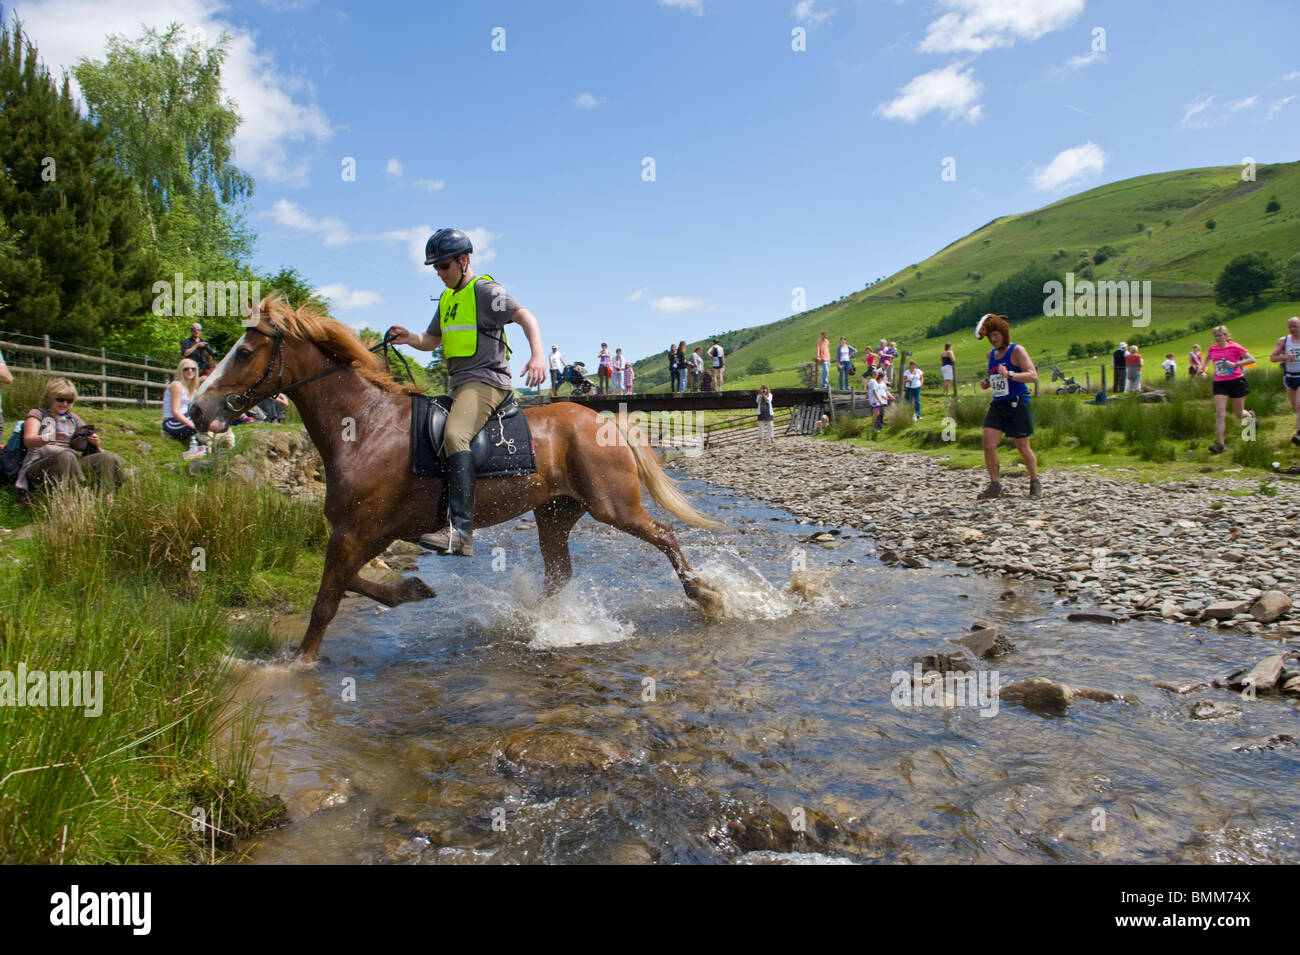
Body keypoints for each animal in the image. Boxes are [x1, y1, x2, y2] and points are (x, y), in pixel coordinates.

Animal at [188, 297, 728, 665]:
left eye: (244, 352)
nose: (195, 410)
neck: (365, 426)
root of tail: (604, 420)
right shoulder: (372, 531)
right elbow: (352, 584)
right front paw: (411, 591)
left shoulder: (355, 531)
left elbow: (327, 600)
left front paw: (297, 664)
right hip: (555, 513)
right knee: (560, 572)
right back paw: (542, 623)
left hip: (613, 506)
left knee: (665, 535)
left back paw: (708, 596)